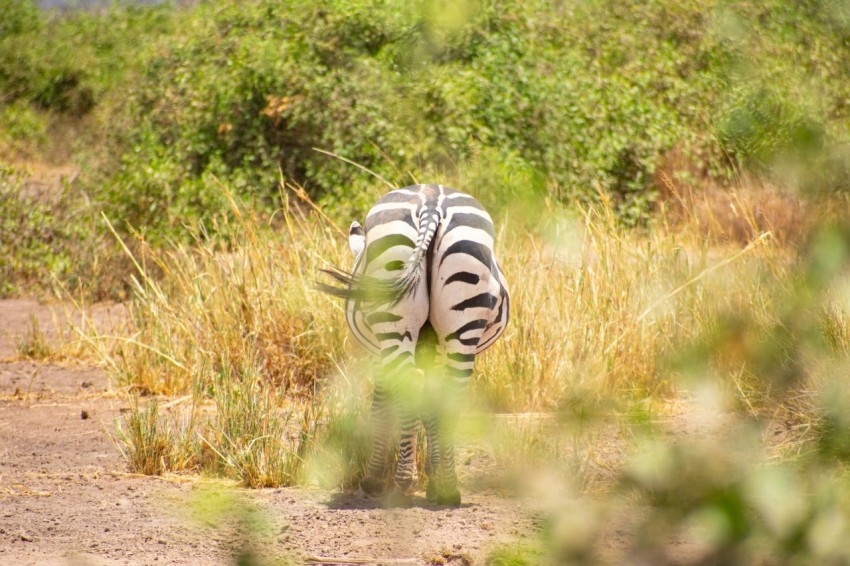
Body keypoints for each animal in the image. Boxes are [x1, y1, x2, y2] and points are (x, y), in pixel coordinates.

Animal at [319, 183, 510, 506]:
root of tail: (432, 201)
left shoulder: (380, 355)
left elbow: (381, 403)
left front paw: (374, 479)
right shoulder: (432, 350)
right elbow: (431, 402)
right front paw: (434, 476)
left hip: (393, 318)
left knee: (409, 384)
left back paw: (404, 483)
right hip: (462, 318)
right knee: (450, 393)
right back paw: (448, 489)